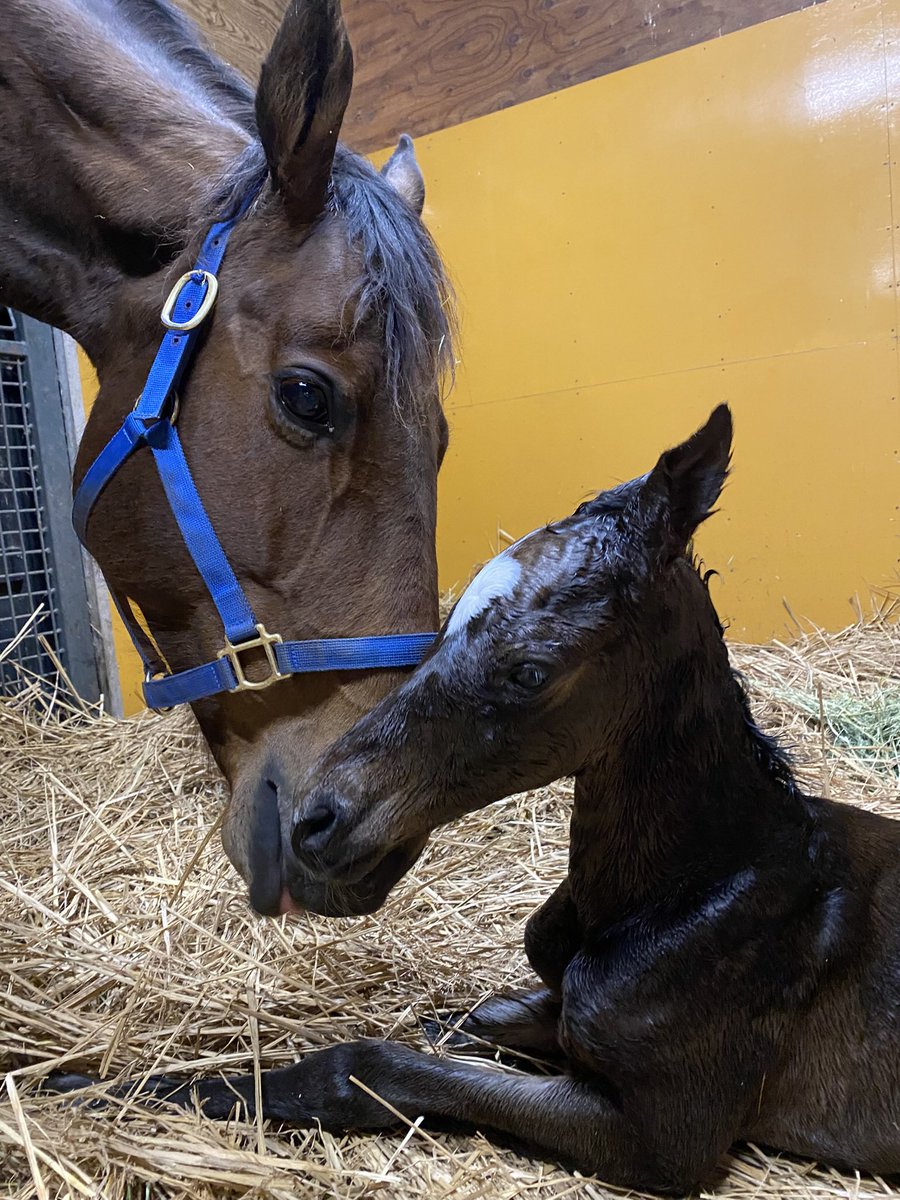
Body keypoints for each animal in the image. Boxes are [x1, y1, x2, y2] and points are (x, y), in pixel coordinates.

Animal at [53, 406, 899, 1190]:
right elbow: (464, 1021)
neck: (703, 883)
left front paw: (109, 1087)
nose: (315, 821)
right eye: (446, 624)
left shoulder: (664, 1139)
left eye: (529, 670)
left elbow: (369, 1069)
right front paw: (106, 1077)